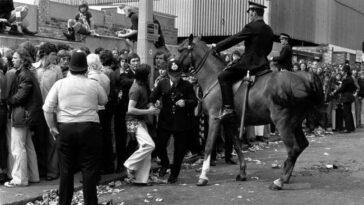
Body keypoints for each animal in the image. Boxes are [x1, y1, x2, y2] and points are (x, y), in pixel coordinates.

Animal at [178, 35, 322, 191]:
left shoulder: (214, 118)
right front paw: (242, 173)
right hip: (295, 123)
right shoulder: (231, 122)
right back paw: (286, 176)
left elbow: (209, 146)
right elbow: (237, 145)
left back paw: (279, 181)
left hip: (283, 123)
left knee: (293, 149)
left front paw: (203, 176)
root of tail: (305, 78)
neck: (213, 78)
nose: (171, 66)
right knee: (302, 145)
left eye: (180, 50)